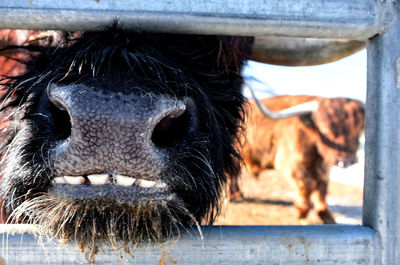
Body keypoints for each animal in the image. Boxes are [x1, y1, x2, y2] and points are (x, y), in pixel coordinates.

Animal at [234, 95, 366, 223]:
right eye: (324, 128)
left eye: (357, 131)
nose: (345, 161)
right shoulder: (291, 165)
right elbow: (305, 186)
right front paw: (301, 211)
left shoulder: (324, 169)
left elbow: (322, 189)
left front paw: (326, 215)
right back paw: (234, 196)